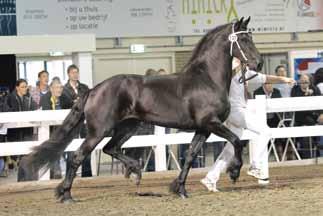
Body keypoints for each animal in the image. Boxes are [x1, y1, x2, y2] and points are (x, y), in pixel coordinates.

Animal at [19, 16, 264, 201]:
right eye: (243, 40)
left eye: (251, 37)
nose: (259, 63)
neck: (206, 79)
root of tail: (94, 90)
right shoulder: (211, 123)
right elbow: (237, 141)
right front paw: (234, 172)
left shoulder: (202, 128)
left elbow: (190, 156)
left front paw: (179, 189)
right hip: (99, 131)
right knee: (78, 156)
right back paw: (67, 195)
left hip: (128, 127)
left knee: (111, 148)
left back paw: (135, 171)